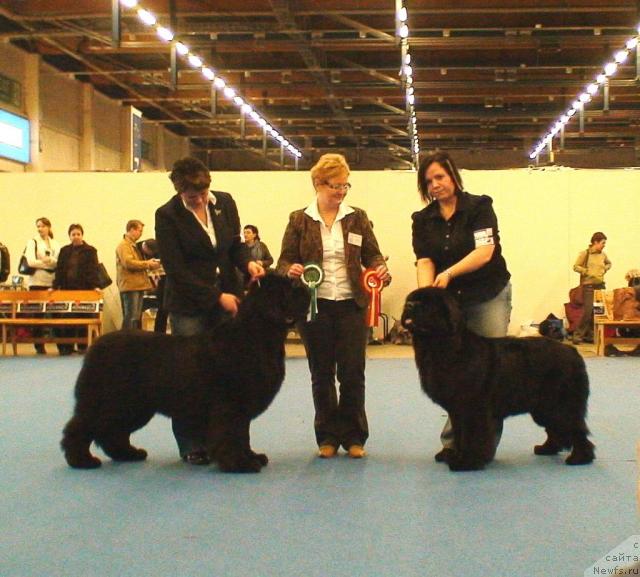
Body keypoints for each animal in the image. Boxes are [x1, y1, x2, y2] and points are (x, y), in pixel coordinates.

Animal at [62, 274, 310, 472]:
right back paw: (81, 460)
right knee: (81, 426)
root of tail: (95, 347)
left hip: (133, 406)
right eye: (288, 288)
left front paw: (252, 457)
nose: (306, 289)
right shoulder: (230, 406)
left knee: (113, 432)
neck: (256, 335)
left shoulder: (241, 407)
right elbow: (232, 434)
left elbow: (243, 435)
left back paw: (129, 454)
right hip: (108, 401)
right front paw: (240, 463)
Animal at [400, 286, 596, 470]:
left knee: (575, 428)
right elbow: (460, 434)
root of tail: (572, 352)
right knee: (556, 429)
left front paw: (467, 462)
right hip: (544, 407)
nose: (409, 305)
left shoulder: (473, 407)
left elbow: (472, 435)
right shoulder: (456, 409)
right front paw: (456, 455)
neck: (444, 347)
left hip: (560, 404)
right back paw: (547, 449)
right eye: (411, 300)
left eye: (426, 303)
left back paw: (580, 458)